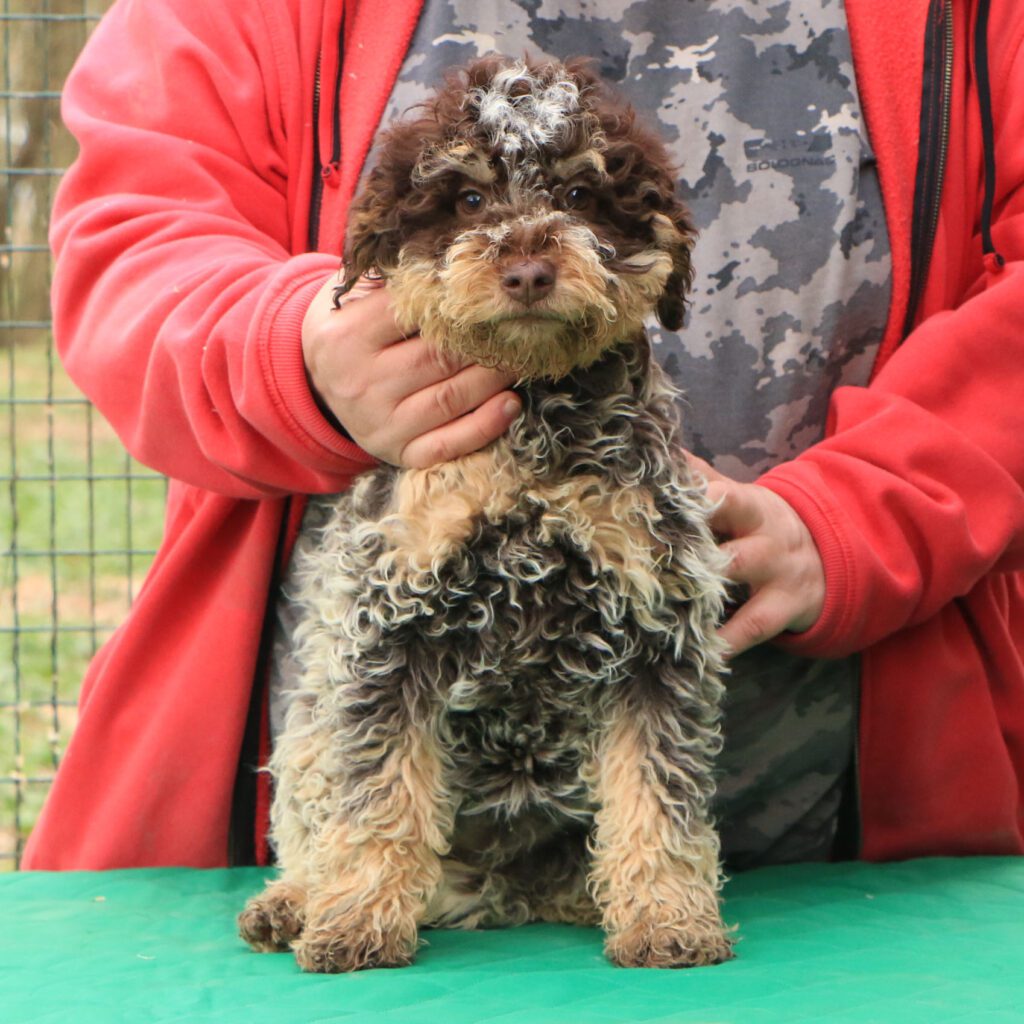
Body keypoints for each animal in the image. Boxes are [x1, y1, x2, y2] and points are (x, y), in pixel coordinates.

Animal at [237, 51, 737, 970]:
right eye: (469, 200)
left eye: (579, 194)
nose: (529, 271)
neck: (533, 423)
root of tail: (502, 894)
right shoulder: (389, 625)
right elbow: (378, 791)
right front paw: (357, 919)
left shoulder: (659, 627)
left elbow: (656, 793)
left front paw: (667, 916)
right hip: (312, 715)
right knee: (317, 807)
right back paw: (295, 901)